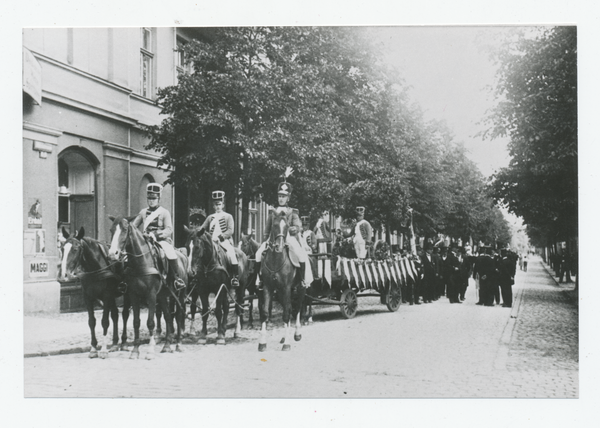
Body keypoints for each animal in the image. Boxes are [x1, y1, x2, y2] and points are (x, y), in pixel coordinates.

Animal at [59, 227, 126, 358]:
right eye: (62, 249)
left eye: (75, 249)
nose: (64, 274)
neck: (95, 268)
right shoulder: (88, 297)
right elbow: (91, 322)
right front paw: (94, 348)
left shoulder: (106, 296)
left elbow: (105, 322)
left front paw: (103, 349)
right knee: (115, 314)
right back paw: (115, 343)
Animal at [107, 216, 188, 360]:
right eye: (111, 229)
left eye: (125, 230)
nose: (112, 254)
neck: (141, 262)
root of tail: (182, 255)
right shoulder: (134, 295)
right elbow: (136, 322)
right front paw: (135, 351)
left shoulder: (151, 295)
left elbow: (150, 322)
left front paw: (150, 350)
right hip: (163, 296)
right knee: (168, 316)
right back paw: (167, 346)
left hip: (180, 294)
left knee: (178, 315)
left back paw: (178, 344)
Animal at [256, 210, 304, 352]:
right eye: (274, 225)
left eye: (288, 226)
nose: (280, 246)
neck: (275, 260)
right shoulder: (268, 287)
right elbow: (265, 313)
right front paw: (262, 343)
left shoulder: (286, 287)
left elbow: (287, 314)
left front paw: (287, 344)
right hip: (281, 293)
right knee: (289, 308)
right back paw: (283, 337)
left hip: (300, 289)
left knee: (297, 308)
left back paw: (296, 334)